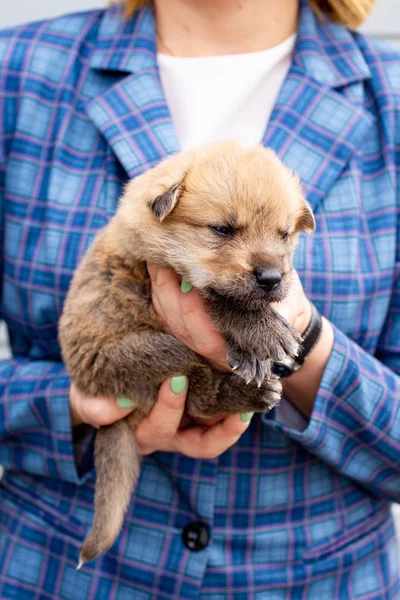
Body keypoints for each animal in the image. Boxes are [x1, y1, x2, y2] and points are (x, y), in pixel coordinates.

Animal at [58, 141, 316, 568]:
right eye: (223, 229)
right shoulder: (167, 273)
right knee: (200, 393)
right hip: (155, 355)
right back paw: (247, 393)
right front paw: (265, 333)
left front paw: (251, 352)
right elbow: (221, 299)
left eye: (284, 235)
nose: (272, 278)